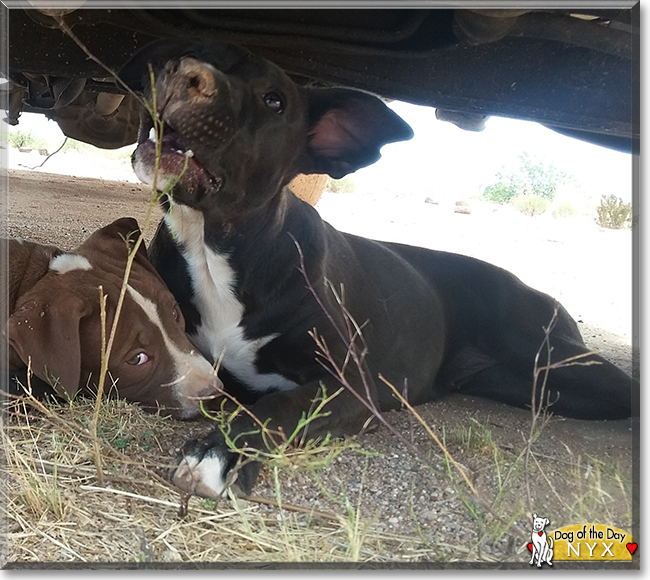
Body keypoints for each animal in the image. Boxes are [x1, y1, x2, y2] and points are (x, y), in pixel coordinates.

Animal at [120, 38, 632, 496]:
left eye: (274, 101)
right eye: (194, 51)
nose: (182, 71)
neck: (216, 249)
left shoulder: (351, 383)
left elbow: (282, 403)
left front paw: (219, 452)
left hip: (558, 360)